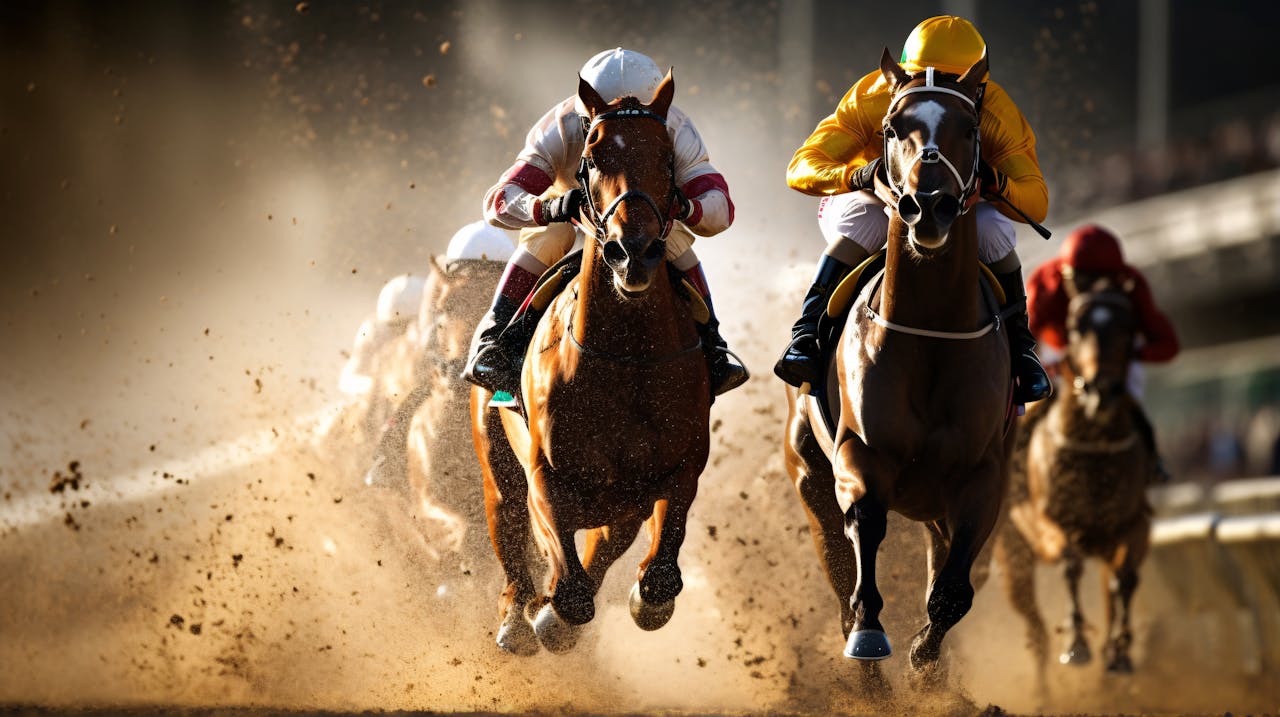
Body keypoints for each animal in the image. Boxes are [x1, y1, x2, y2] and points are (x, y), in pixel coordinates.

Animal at [473, 72, 716, 655]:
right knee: (511, 531)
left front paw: (646, 598)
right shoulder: (545, 476)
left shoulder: (677, 470)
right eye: (592, 153)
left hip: (621, 504)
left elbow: (656, 577)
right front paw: (549, 613)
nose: (634, 252)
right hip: (497, 468)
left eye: (668, 157)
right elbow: (571, 589)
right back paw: (518, 617)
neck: (627, 359)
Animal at [783, 48, 1013, 691]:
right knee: (838, 570)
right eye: (891, 128)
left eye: (970, 130)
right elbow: (864, 532)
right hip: (809, 474)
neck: (931, 332)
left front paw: (927, 663)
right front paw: (871, 637)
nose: (928, 205)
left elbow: (952, 593)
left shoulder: (983, 477)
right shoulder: (862, 454)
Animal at [993, 272, 1157, 691]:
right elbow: (1070, 563)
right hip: (1012, 555)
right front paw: (1077, 644)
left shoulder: (1135, 524)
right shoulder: (1046, 522)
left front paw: (1119, 654)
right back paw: (1042, 690)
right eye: (1075, 327)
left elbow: (1125, 579)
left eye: (1128, 326)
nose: (1102, 390)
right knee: (1034, 627)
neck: (1094, 448)